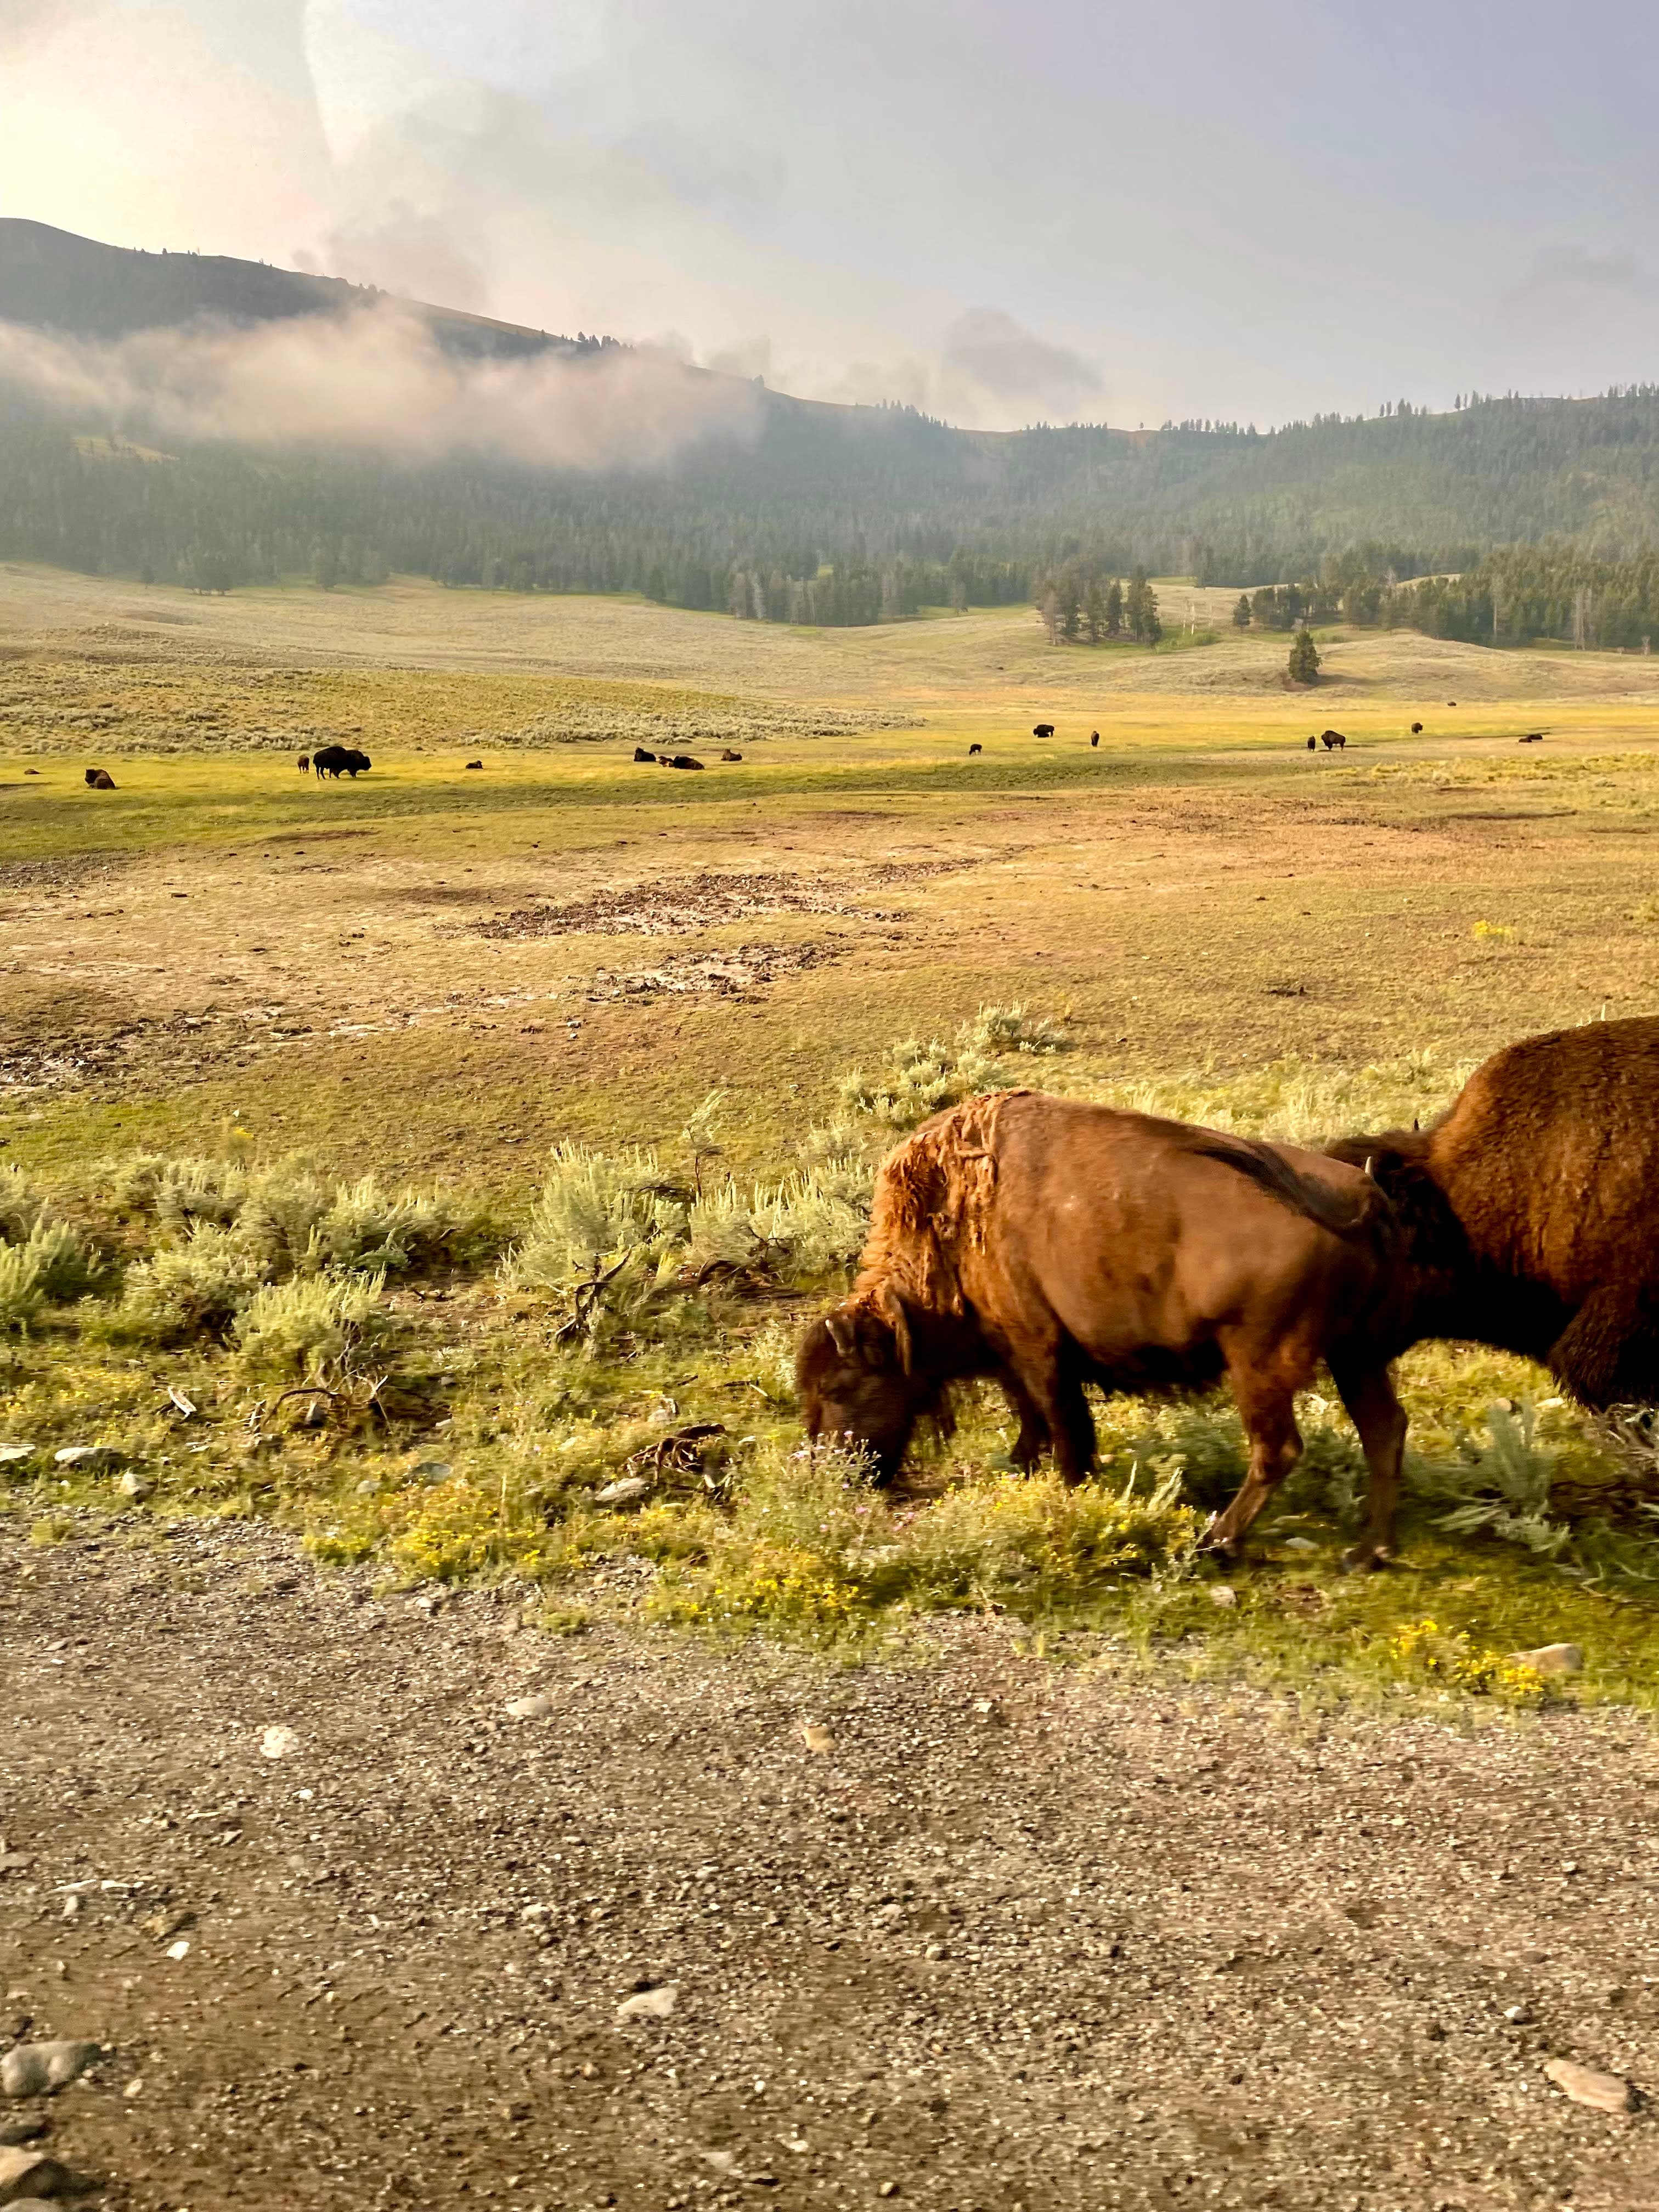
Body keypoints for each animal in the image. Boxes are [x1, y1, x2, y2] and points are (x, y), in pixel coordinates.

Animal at [798, 1091, 1408, 1566]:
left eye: (838, 1387)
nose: (833, 1472)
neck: (952, 1225)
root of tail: (1359, 1195)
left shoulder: (1039, 1349)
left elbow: (1064, 1426)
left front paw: (1069, 1489)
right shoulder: (1016, 1358)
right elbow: (1035, 1420)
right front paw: (1024, 1468)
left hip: (1258, 1362)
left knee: (1277, 1450)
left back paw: (1218, 1543)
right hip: (1355, 1354)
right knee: (1383, 1430)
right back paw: (1367, 1554)